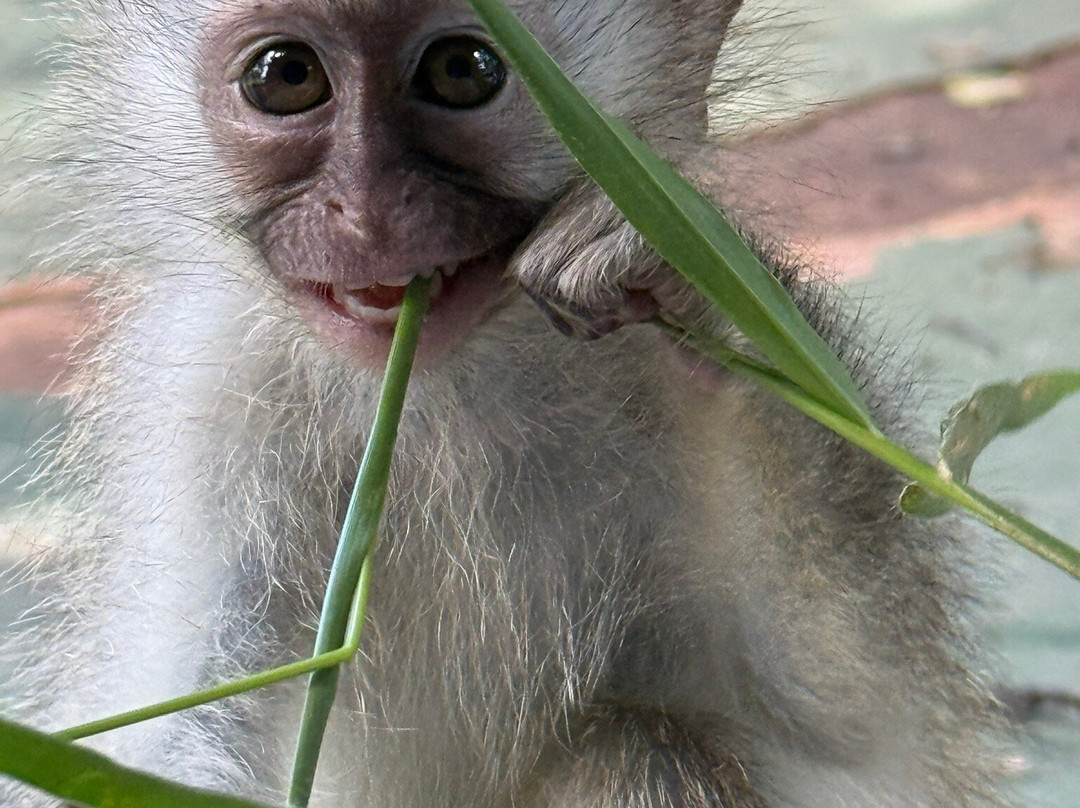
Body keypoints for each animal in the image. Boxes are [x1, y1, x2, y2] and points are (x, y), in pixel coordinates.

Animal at [0, 0, 1011, 806]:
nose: (367, 213)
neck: (443, 397)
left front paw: (681, 282)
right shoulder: (208, 390)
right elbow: (172, 724)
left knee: (636, 746)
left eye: (464, 70)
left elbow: (853, 718)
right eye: (286, 76)